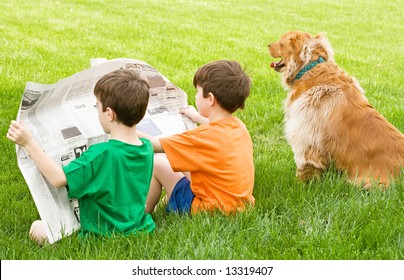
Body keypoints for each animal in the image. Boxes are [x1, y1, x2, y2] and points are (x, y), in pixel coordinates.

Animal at [266, 30, 402, 188]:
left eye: (281, 42)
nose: (268, 44)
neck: (310, 67)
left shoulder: (306, 134)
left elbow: (306, 165)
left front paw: (299, 184)